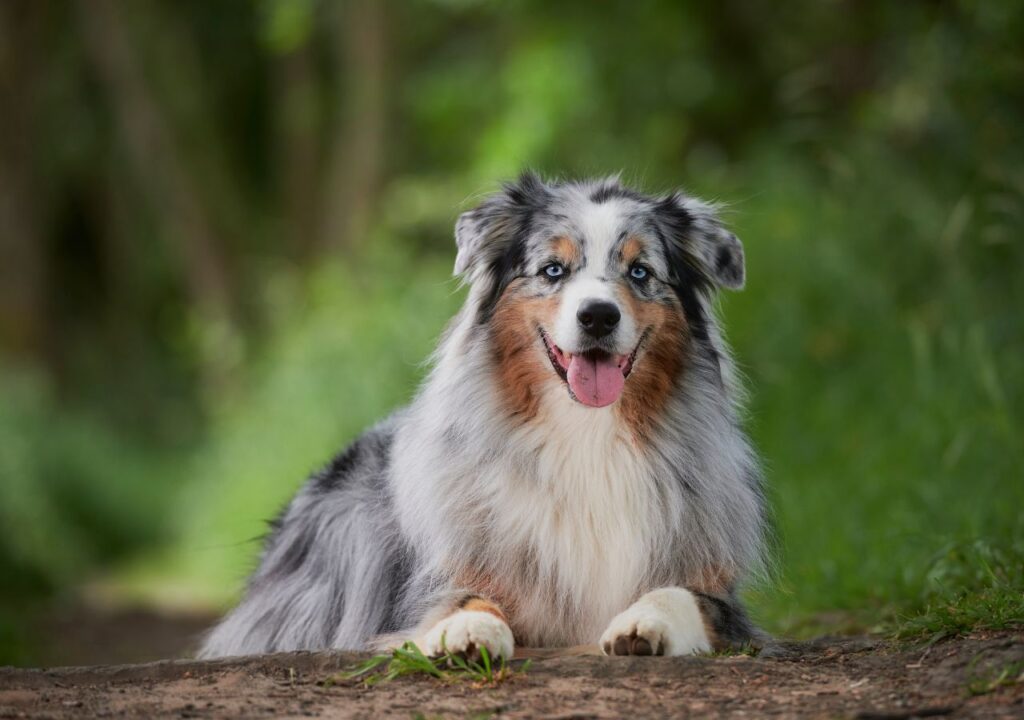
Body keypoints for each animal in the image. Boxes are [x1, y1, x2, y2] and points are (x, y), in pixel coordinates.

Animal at [197, 173, 770, 659]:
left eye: (640, 271)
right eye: (553, 270)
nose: (598, 316)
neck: (585, 433)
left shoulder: (720, 593)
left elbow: (683, 594)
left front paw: (643, 622)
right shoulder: (437, 580)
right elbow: (464, 597)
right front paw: (468, 630)